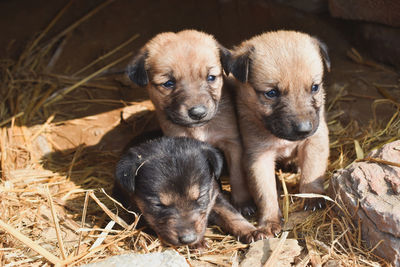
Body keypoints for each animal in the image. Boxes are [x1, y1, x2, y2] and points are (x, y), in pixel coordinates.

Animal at [112, 137, 266, 248]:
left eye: (201, 197)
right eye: (157, 205)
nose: (188, 239)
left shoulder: (214, 195)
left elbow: (231, 214)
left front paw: (251, 231)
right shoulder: (139, 214)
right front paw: (198, 242)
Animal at [126, 30, 255, 216]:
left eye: (211, 77)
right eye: (168, 83)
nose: (198, 113)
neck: (199, 129)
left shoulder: (233, 143)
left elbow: (238, 176)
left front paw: (243, 203)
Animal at [228, 30, 332, 237]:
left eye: (315, 87)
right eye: (271, 93)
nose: (304, 129)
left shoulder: (315, 139)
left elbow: (312, 170)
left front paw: (312, 196)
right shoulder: (259, 157)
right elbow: (265, 193)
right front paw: (269, 222)